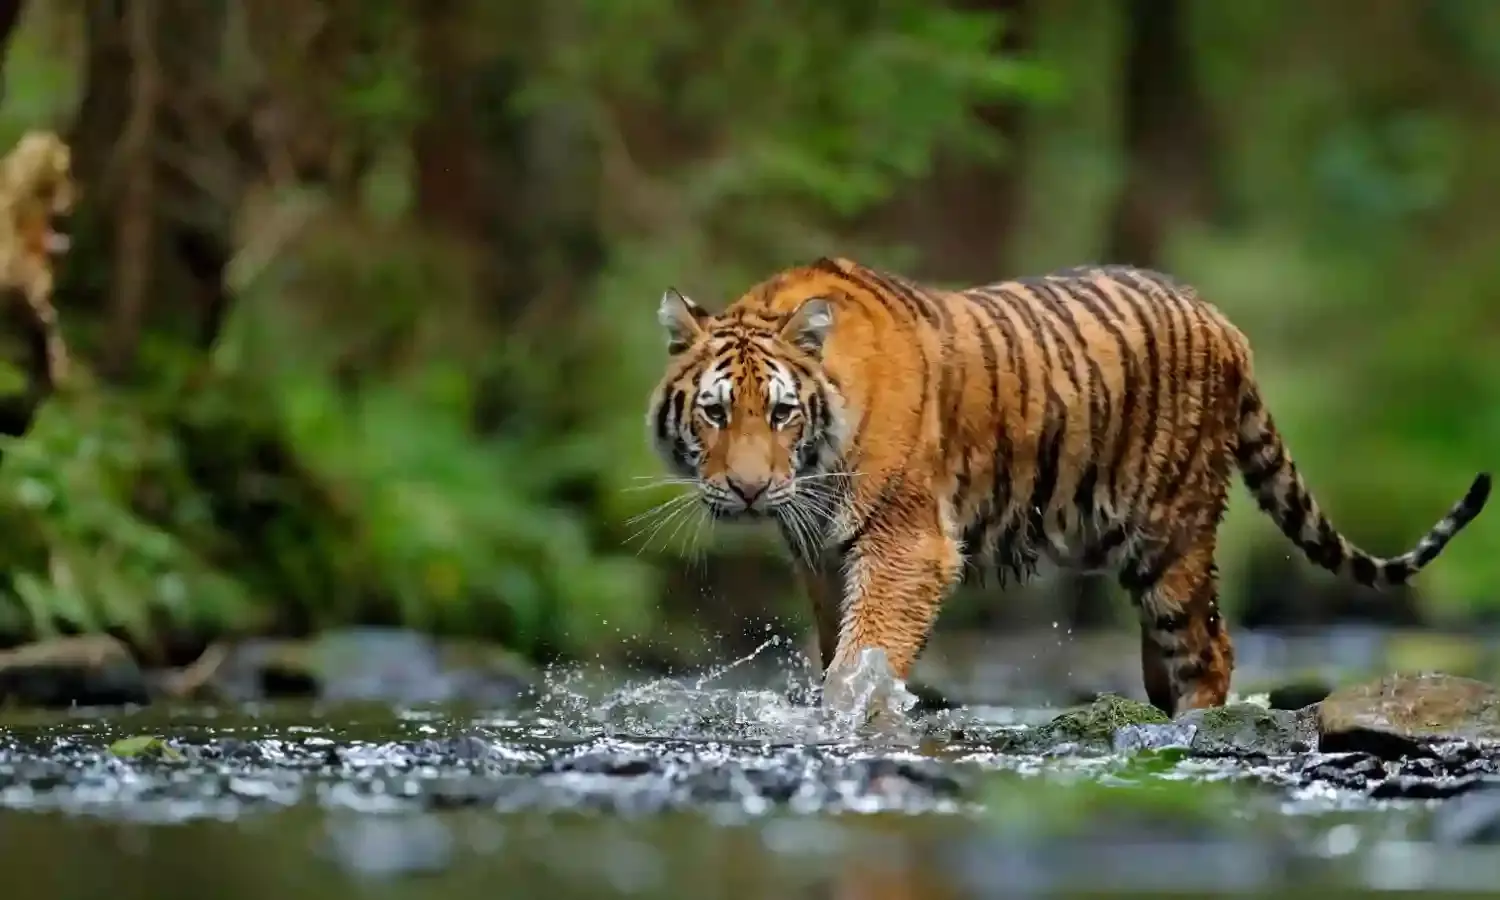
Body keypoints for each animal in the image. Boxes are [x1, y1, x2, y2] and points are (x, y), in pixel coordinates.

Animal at [644, 256, 1490, 716]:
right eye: (715, 413)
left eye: (781, 413)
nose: (749, 491)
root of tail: (1224, 321)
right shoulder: (822, 556)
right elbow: (838, 651)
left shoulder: (906, 545)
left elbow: (865, 658)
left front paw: (851, 719)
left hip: (1171, 532)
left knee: (1209, 648)